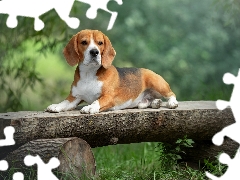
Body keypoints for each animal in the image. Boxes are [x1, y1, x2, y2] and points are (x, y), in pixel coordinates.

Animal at [47, 29, 178, 114]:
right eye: (84, 42)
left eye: (100, 43)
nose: (94, 52)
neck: (89, 73)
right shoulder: (74, 97)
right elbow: (64, 103)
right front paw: (56, 106)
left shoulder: (108, 97)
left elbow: (97, 101)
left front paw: (90, 107)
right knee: (147, 102)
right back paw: (156, 102)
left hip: (157, 83)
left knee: (171, 94)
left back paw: (171, 103)